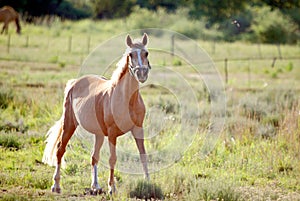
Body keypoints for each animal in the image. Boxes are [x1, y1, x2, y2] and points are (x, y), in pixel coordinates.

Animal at [42, 33, 151, 195]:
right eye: (130, 55)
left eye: (146, 53)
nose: (141, 74)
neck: (126, 99)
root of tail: (74, 82)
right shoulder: (112, 133)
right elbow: (113, 158)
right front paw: (112, 188)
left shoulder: (138, 129)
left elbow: (143, 155)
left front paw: (148, 182)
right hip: (70, 124)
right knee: (60, 149)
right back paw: (56, 185)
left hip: (98, 134)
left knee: (94, 156)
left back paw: (95, 186)